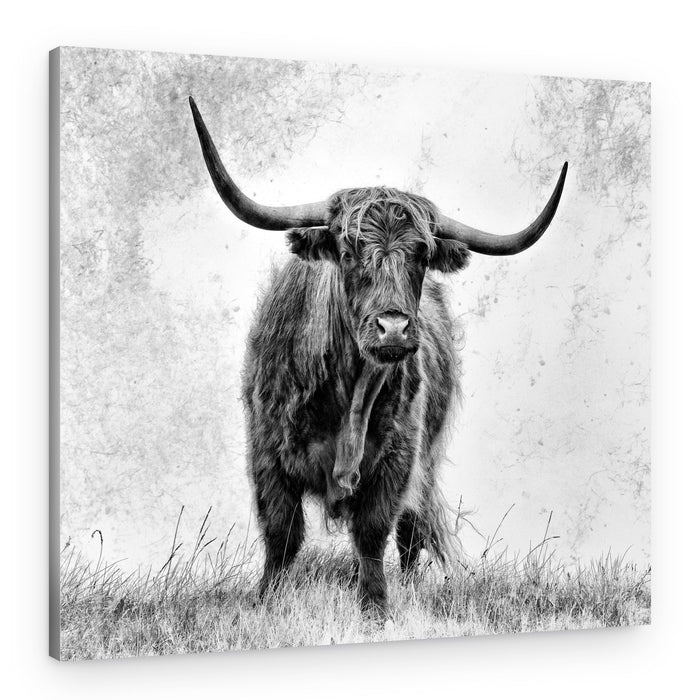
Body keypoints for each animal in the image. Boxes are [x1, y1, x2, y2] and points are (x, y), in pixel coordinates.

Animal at [189, 97, 567, 616]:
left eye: (422, 254)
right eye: (348, 251)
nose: (393, 327)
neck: (349, 397)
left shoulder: (399, 460)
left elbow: (373, 533)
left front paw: (376, 609)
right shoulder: (267, 453)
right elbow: (282, 534)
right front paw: (266, 602)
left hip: (426, 460)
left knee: (411, 532)